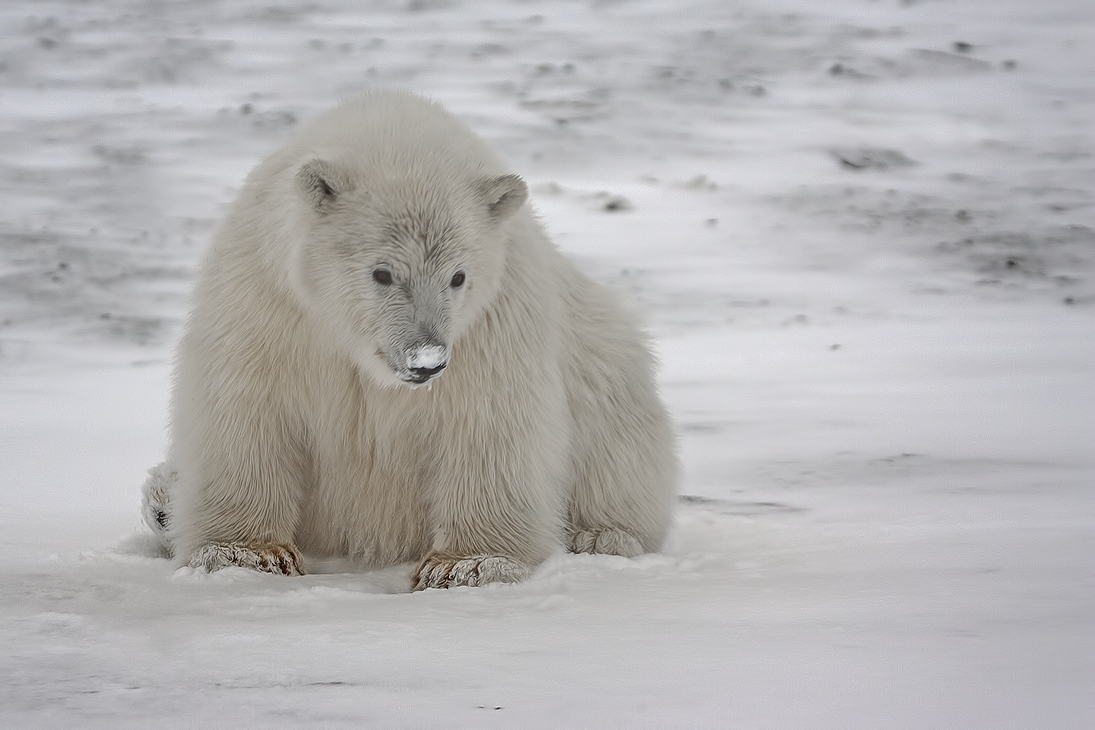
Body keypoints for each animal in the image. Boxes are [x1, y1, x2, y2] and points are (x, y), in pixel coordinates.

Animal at [145, 91, 674, 591]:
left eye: (458, 276)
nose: (427, 362)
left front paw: (466, 565)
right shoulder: (267, 298)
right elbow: (247, 407)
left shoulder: (493, 319)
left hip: (605, 355)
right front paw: (246, 553)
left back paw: (598, 535)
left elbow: (488, 420)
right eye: (382, 272)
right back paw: (162, 502)